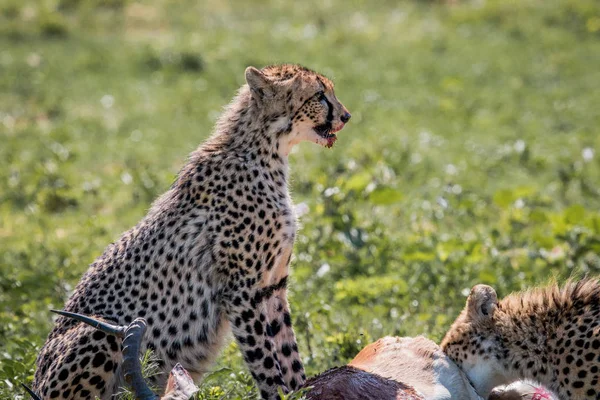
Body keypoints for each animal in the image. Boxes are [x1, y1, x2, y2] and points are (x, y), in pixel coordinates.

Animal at [31, 64, 352, 398]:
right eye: (319, 95)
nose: (346, 116)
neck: (266, 151)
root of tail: (36, 379)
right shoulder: (241, 290)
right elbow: (264, 360)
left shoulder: (272, 286)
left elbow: (288, 354)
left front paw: (301, 388)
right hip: (97, 332)